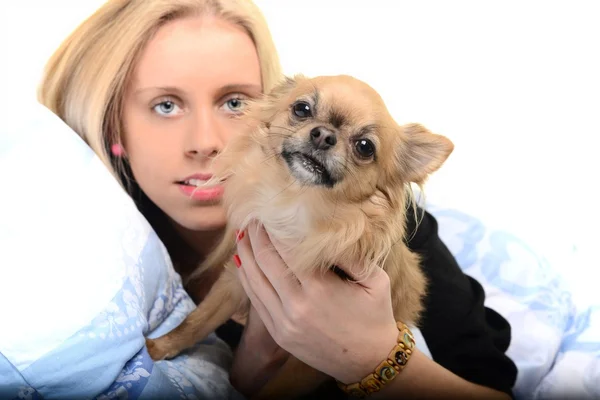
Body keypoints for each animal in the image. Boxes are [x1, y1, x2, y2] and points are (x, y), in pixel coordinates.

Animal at [146, 74, 454, 396]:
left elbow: (274, 391)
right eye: (302, 109)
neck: (299, 202)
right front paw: (158, 348)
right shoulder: (235, 282)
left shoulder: (316, 357)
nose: (323, 135)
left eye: (365, 147)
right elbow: (196, 321)